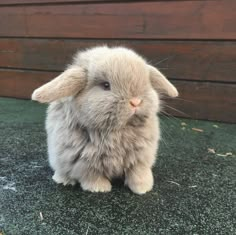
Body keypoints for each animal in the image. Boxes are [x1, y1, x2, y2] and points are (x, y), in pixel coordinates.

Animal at [31, 46, 179, 195]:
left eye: (146, 82)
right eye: (106, 85)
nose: (136, 102)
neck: (119, 131)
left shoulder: (140, 159)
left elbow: (138, 173)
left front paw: (143, 188)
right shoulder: (85, 163)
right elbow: (92, 176)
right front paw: (99, 188)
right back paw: (63, 180)